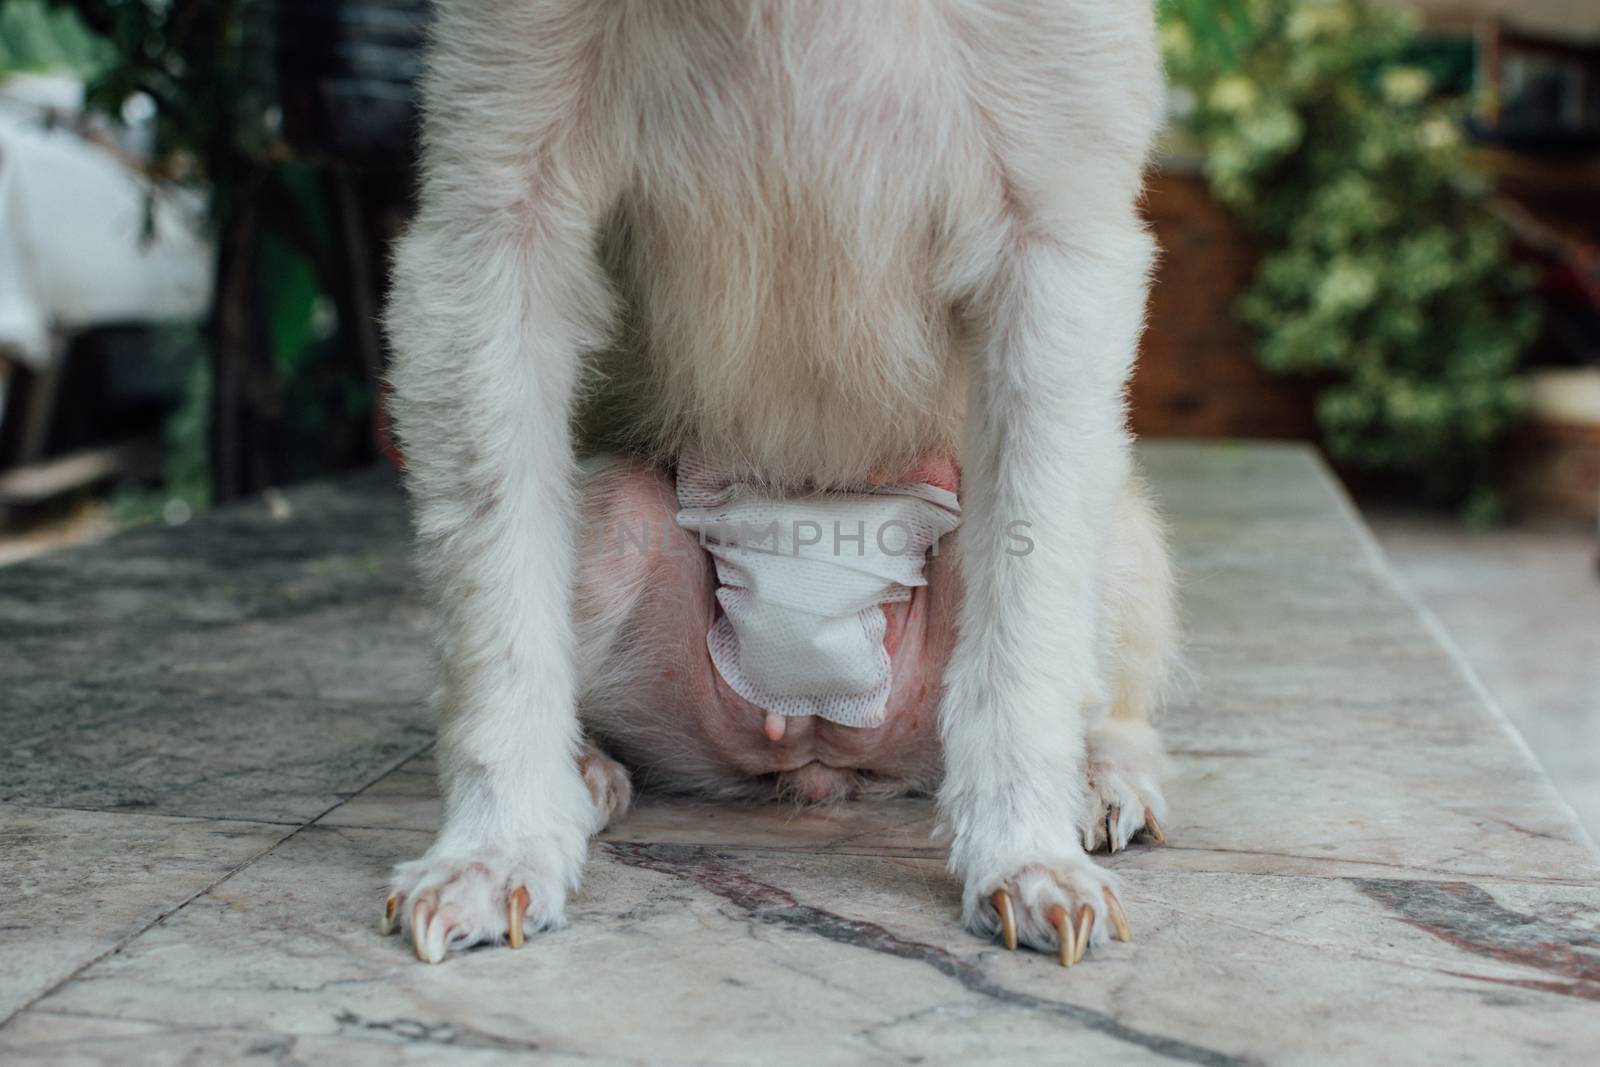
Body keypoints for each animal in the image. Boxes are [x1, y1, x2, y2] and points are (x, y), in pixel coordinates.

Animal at [379, 0, 1171, 966]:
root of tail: (817, 747)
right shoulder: (492, 210)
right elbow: (495, 594)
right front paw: (497, 843)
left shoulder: (1057, 226)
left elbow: (1032, 611)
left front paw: (1024, 848)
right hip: (618, 544)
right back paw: (582, 768)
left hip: (1099, 549)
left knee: (1100, 664)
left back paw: (1103, 774)